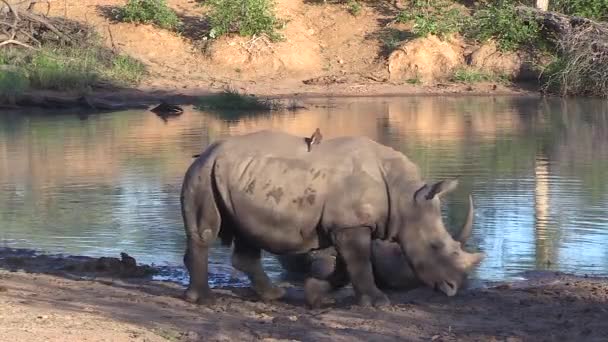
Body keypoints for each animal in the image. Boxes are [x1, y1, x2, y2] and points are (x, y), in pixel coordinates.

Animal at [180, 130, 484, 308]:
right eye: (434, 246)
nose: (454, 288)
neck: (405, 198)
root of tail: (206, 151)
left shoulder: (346, 224)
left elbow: (347, 267)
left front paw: (316, 295)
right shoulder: (351, 224)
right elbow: (359, 263)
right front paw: (379, 303)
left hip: (239, 176)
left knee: (247, 233)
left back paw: (274, 295)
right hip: (204, 171)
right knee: (206, 231)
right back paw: (203, 300)